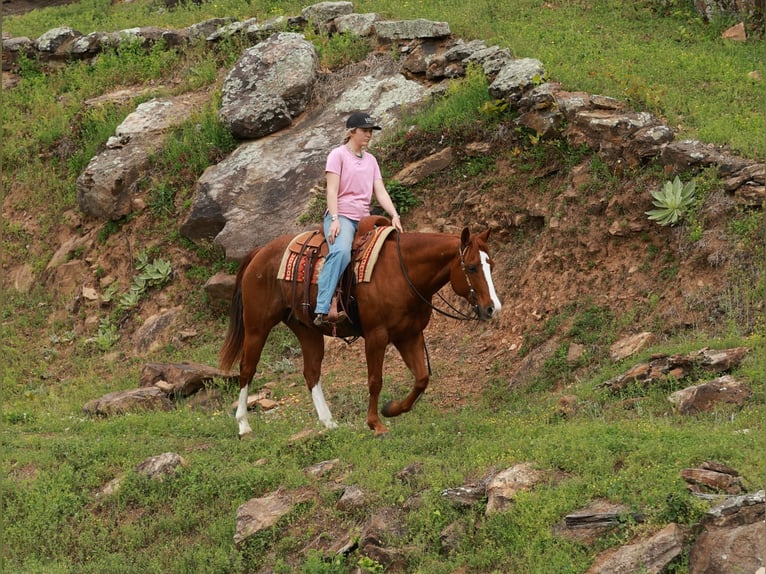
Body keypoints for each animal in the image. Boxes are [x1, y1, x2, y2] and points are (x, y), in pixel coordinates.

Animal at [219, 220, 502, 438]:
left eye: (492, 265)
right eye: (472, 267)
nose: (492, 308)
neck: (402, 273)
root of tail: (259, 252)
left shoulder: (409, 335)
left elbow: (421, 379)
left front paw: (391, 409)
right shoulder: (377, 335)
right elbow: (375, 380)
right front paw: (375, 424)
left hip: (306, 329)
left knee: (311, 373)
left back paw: (329, 423)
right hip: (257, 326)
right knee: (247, 369)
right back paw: (244, 426)